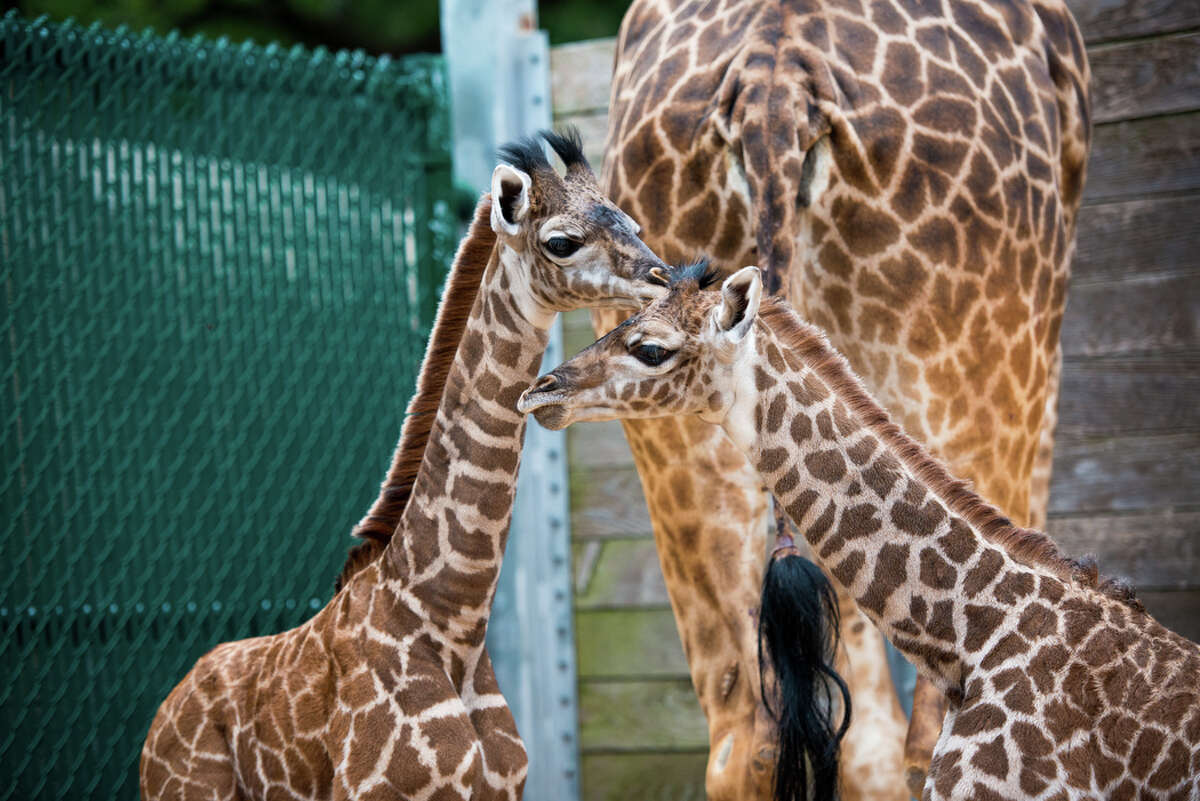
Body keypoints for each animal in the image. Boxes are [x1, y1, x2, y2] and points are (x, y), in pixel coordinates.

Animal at [138, 128, 676, 796]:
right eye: (562, 241)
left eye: (630, 222)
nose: (664, 277)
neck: (453, 621)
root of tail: (163, 714)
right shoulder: (375, 789)